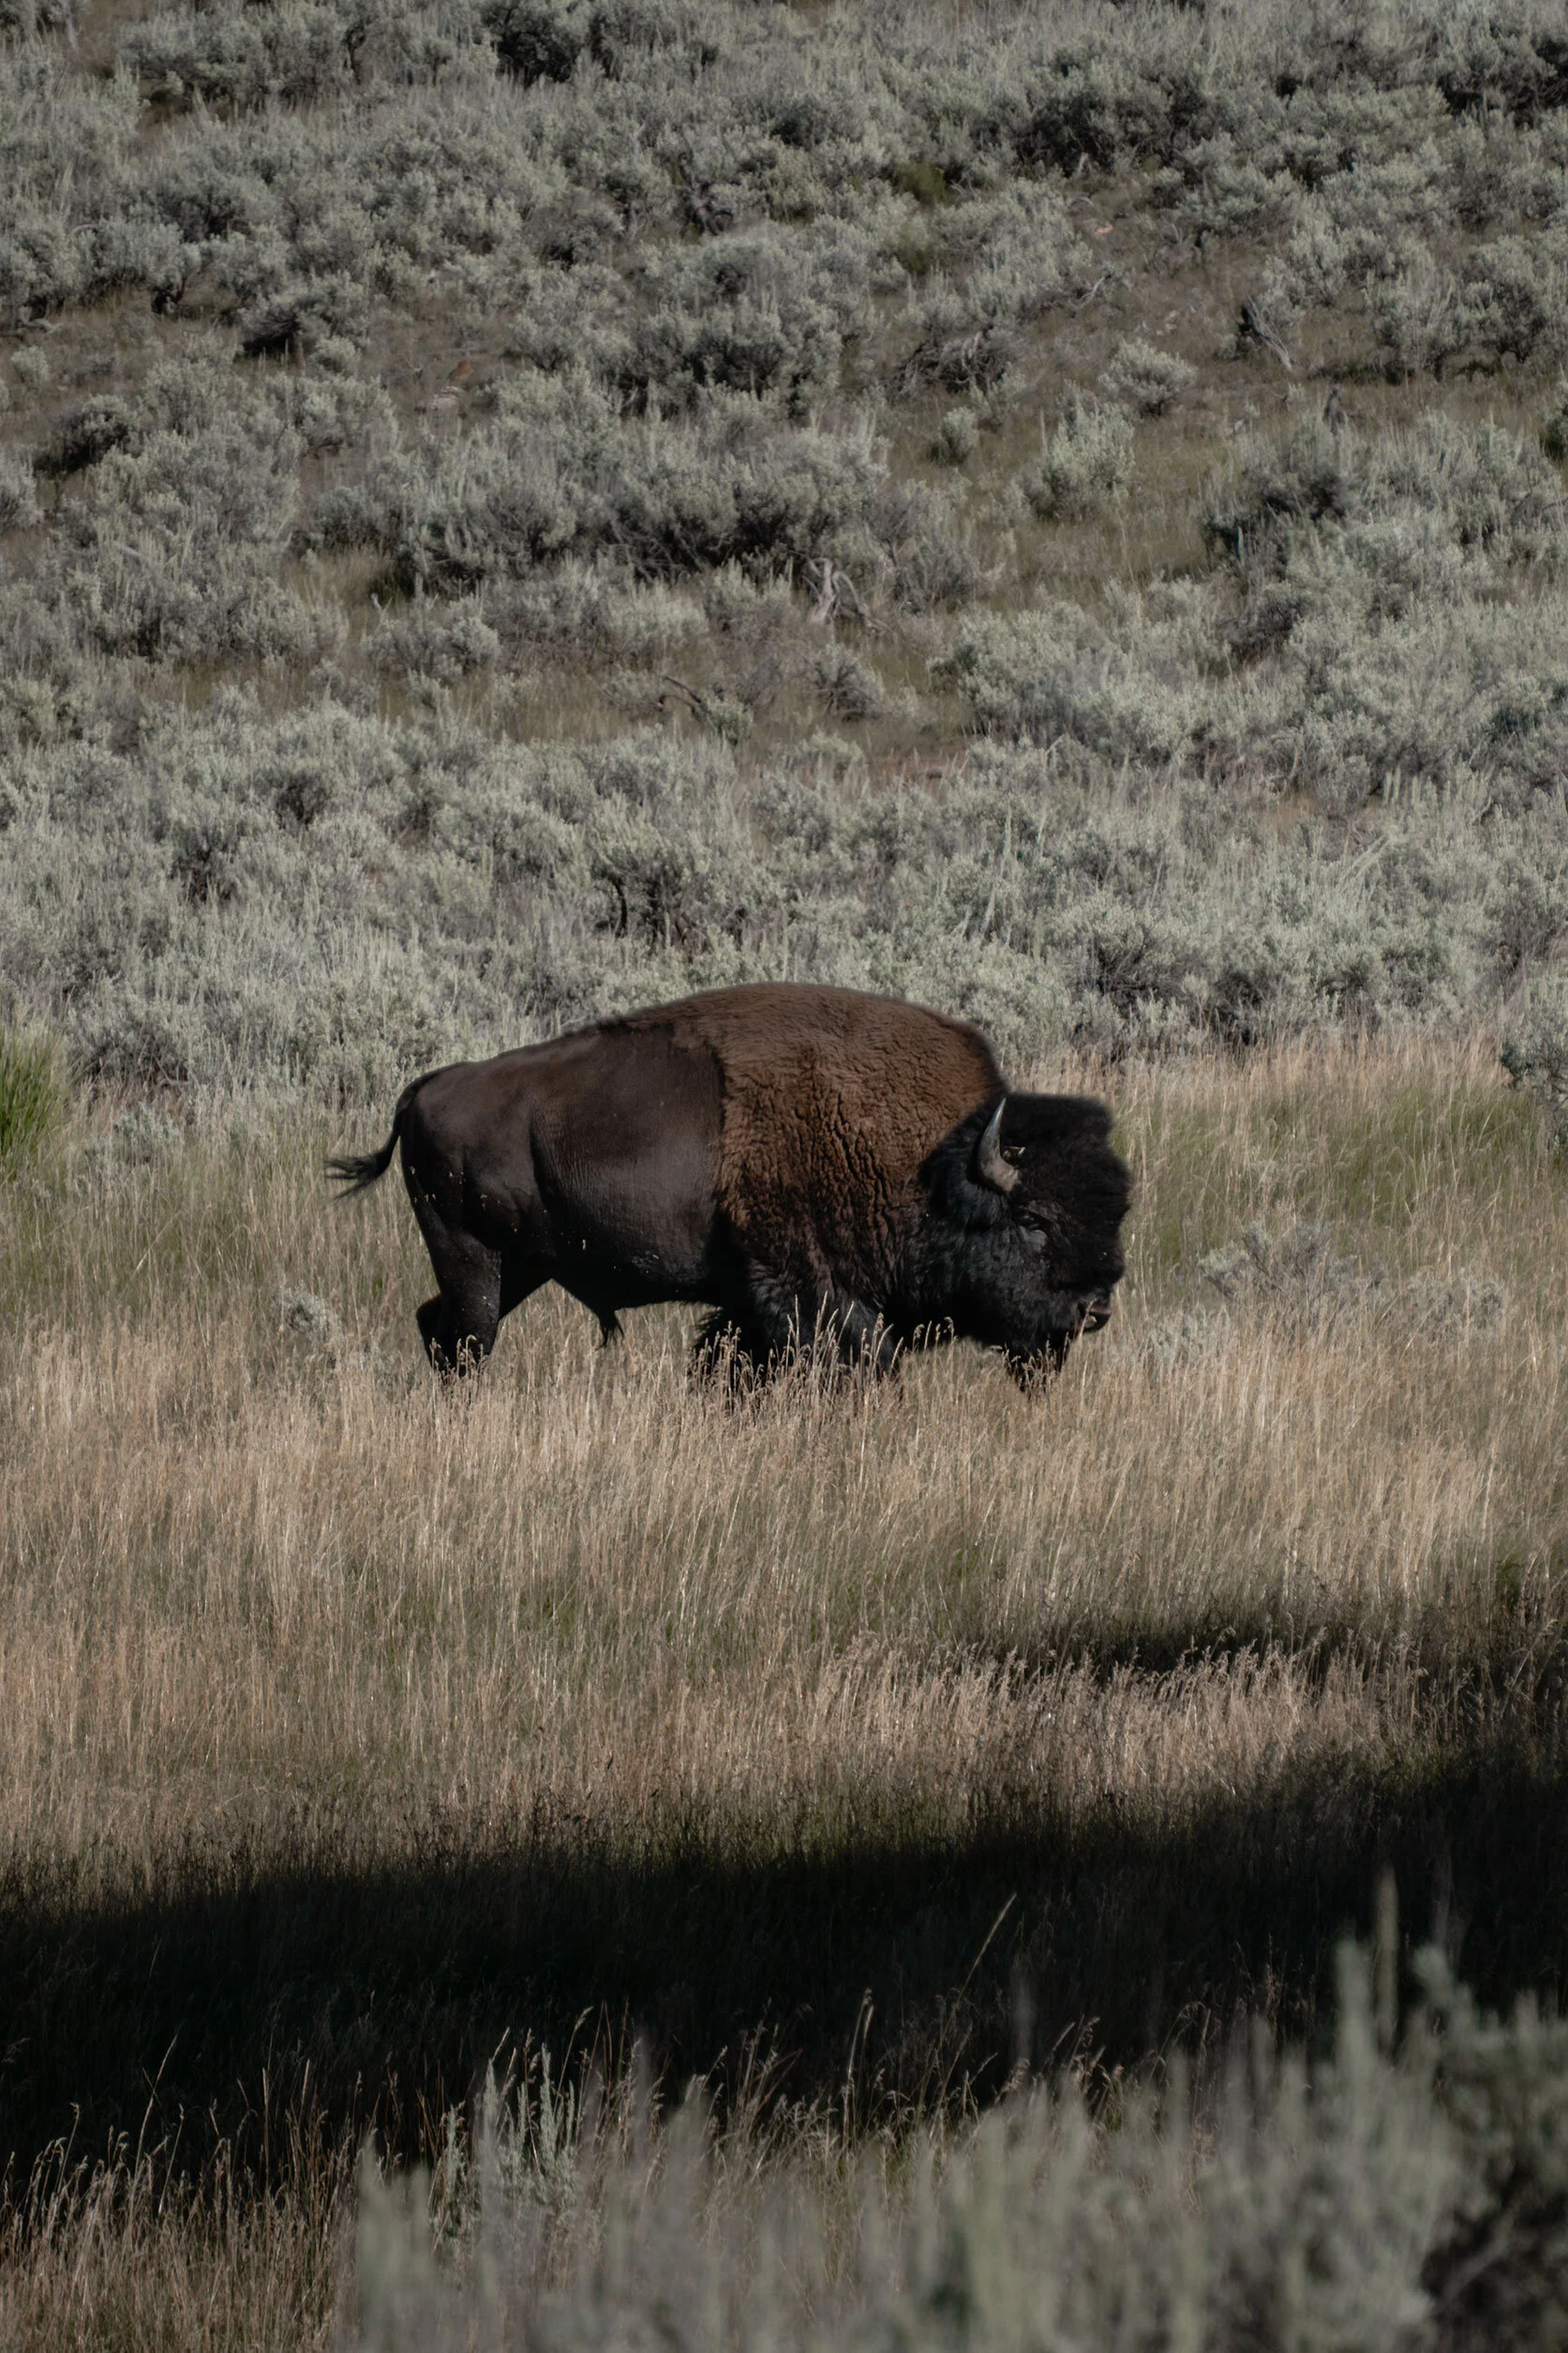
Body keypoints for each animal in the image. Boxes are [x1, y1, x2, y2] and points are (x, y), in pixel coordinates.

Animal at [329, 983, 1130, 1386]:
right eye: (1032, 1220)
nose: (1094, 1309)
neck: (931, 1163)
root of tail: (427, 1087)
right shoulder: (814, 1301)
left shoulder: (754, 1308)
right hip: (472, 1256)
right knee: (464, 1339)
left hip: (520, 1264)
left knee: (439, 1329)